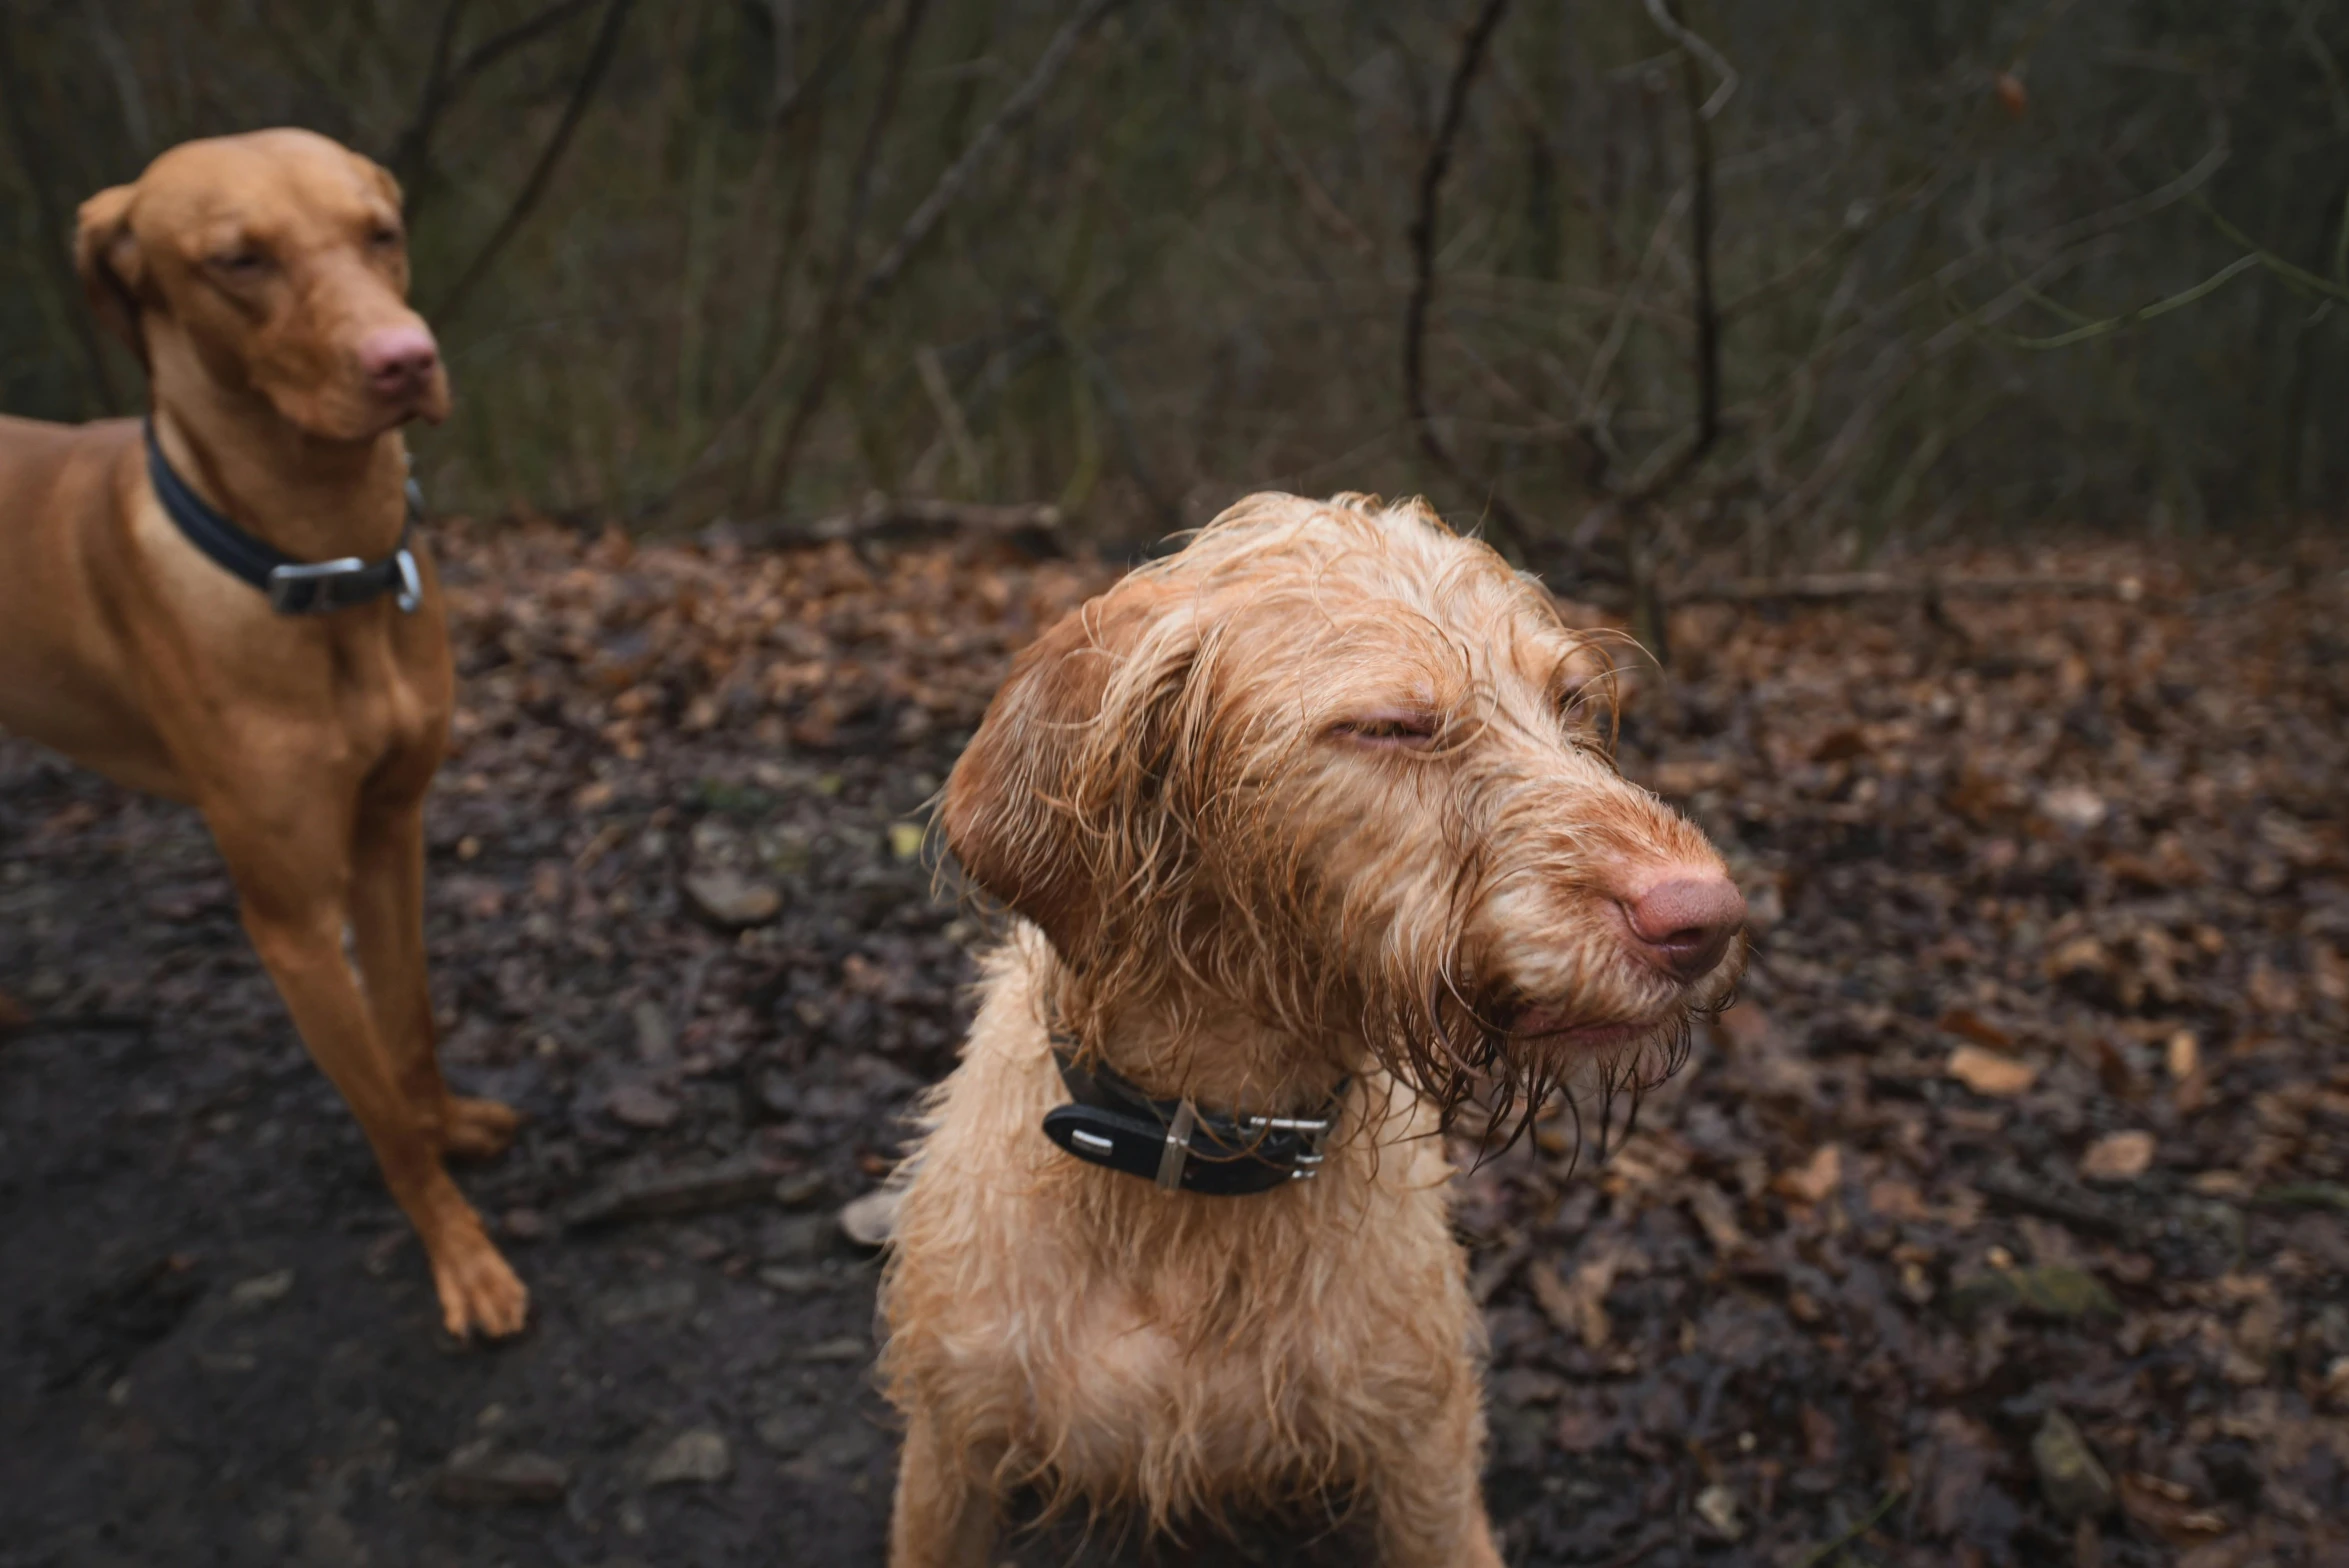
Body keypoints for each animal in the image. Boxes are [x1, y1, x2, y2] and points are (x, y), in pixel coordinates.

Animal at [0, 128, 523, 1342]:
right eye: (239, 260)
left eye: (381, 231)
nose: (404, 359)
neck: (328, 561)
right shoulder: (288, 921)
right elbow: (379, 1113)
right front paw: (461, 1254)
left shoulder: (390, 832)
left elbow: (410, 1025)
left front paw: (452, 1127)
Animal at [878, 495, 1747, 1558]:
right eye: (1389, 726)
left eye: (1573, 701)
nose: (1705, 919)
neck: (1198, 1162)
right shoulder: (950, 1454)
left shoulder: (1424, 1470)